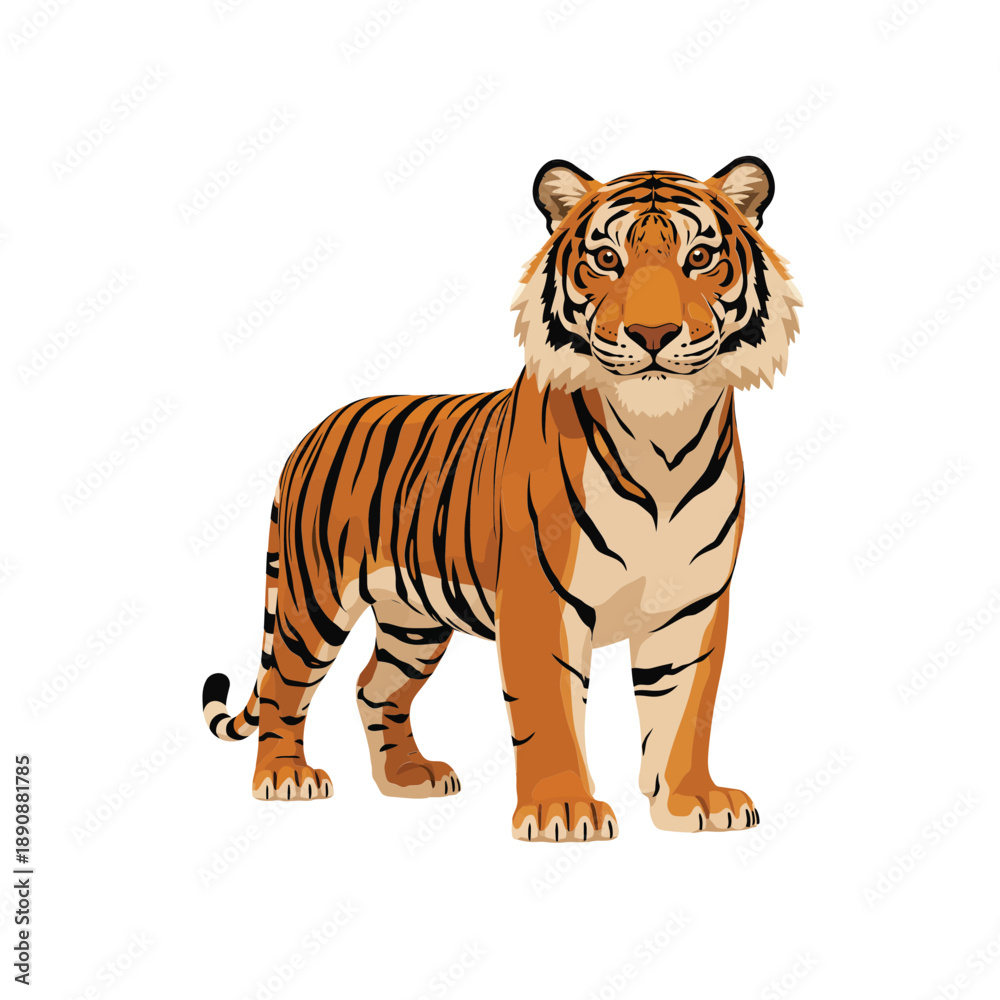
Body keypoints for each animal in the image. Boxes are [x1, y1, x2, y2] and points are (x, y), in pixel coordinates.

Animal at [203, 156, 801, 842]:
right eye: (606, 259)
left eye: (700, 257)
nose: (652, 333)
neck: (663, 440)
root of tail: (314, 430)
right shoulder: (542, 601)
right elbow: (550, 711)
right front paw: (562, 812)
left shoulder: (692, 604)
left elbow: (684, 713)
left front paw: (692, 802)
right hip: (313, 598)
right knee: (284, 685)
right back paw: (284, 778)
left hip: (414, 620)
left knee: (373, 687)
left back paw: (408, 778)